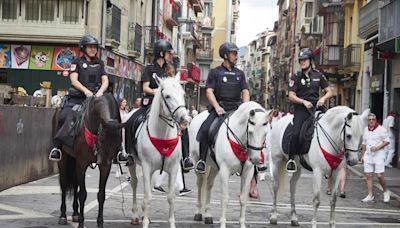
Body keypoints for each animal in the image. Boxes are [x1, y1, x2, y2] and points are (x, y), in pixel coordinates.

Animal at [54, 93, 123, 228]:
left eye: (118, 140)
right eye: (102, 137)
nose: (104, 160)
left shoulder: (105, 167)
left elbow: (101, 194)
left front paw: (100, 223)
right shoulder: (82, 163)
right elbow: (83, 194)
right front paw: (81, 223)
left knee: (75, 184)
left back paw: (75, 213)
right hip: (64, 158)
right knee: (64, 185)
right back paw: (63, 215)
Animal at [128, 74, 191, 227]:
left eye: (183, 94)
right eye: (167, 96)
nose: (184, 119)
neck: (162, 134)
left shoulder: (174, 167)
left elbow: (171, 197)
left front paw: (172, 223)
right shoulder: (146, 166)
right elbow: (148, 197)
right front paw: (145, 223)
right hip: (132, 162)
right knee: (134, 183)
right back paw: (135, 215)